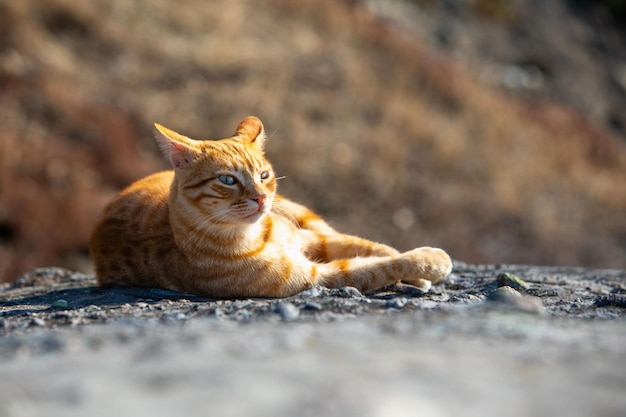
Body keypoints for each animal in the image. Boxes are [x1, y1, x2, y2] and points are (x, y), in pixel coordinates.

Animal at [90, 115, 450, 298]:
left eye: (264, 175)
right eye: (228, 180)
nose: (262, 198)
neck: (258, 234)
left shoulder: (311, 239)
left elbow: (375, 248)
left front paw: (418, 272)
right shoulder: (315, 275)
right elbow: (375, 266)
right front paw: (430, 262)